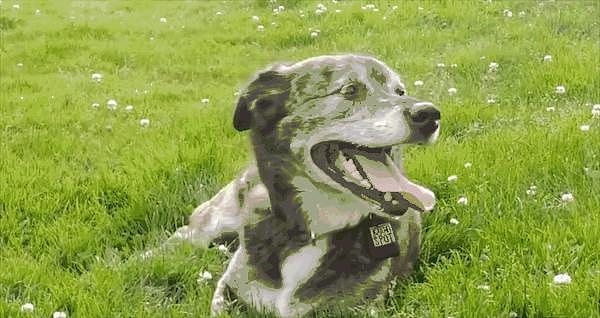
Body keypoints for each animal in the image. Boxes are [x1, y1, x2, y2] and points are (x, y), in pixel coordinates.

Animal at [166, 55, 438, 318]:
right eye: (349, 89)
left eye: (400, 91)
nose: (430, 114)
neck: (312, 233)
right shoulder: (228, 287)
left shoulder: (361, 308)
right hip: (214, 224)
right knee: (181, 235)